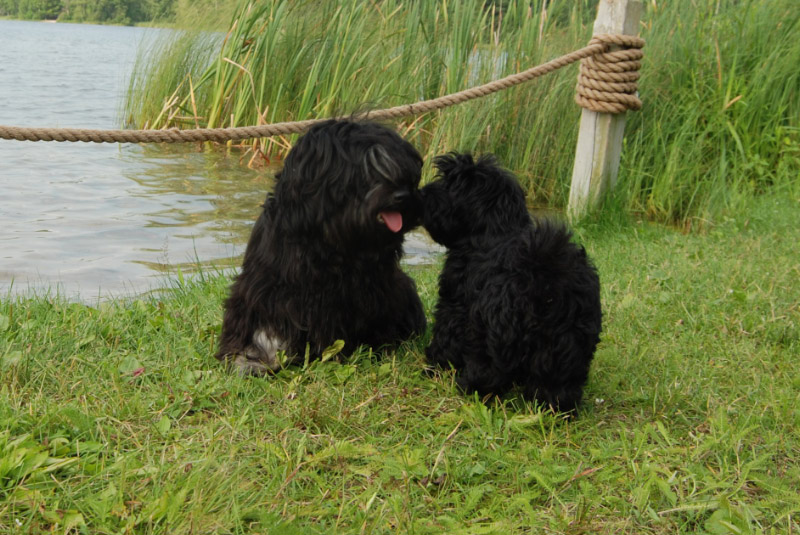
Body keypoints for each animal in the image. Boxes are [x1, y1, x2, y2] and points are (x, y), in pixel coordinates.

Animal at [418, 153, 600, 412]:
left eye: (451, 185)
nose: (423, 193)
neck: (495, 230)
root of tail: (543, 281)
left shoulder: (454, 304)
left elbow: (446, 336)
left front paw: (434, 365)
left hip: (491, 333)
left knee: (487, 370)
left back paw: (470, 388)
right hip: (568, 344)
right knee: (558, 384)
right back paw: (556, 407)